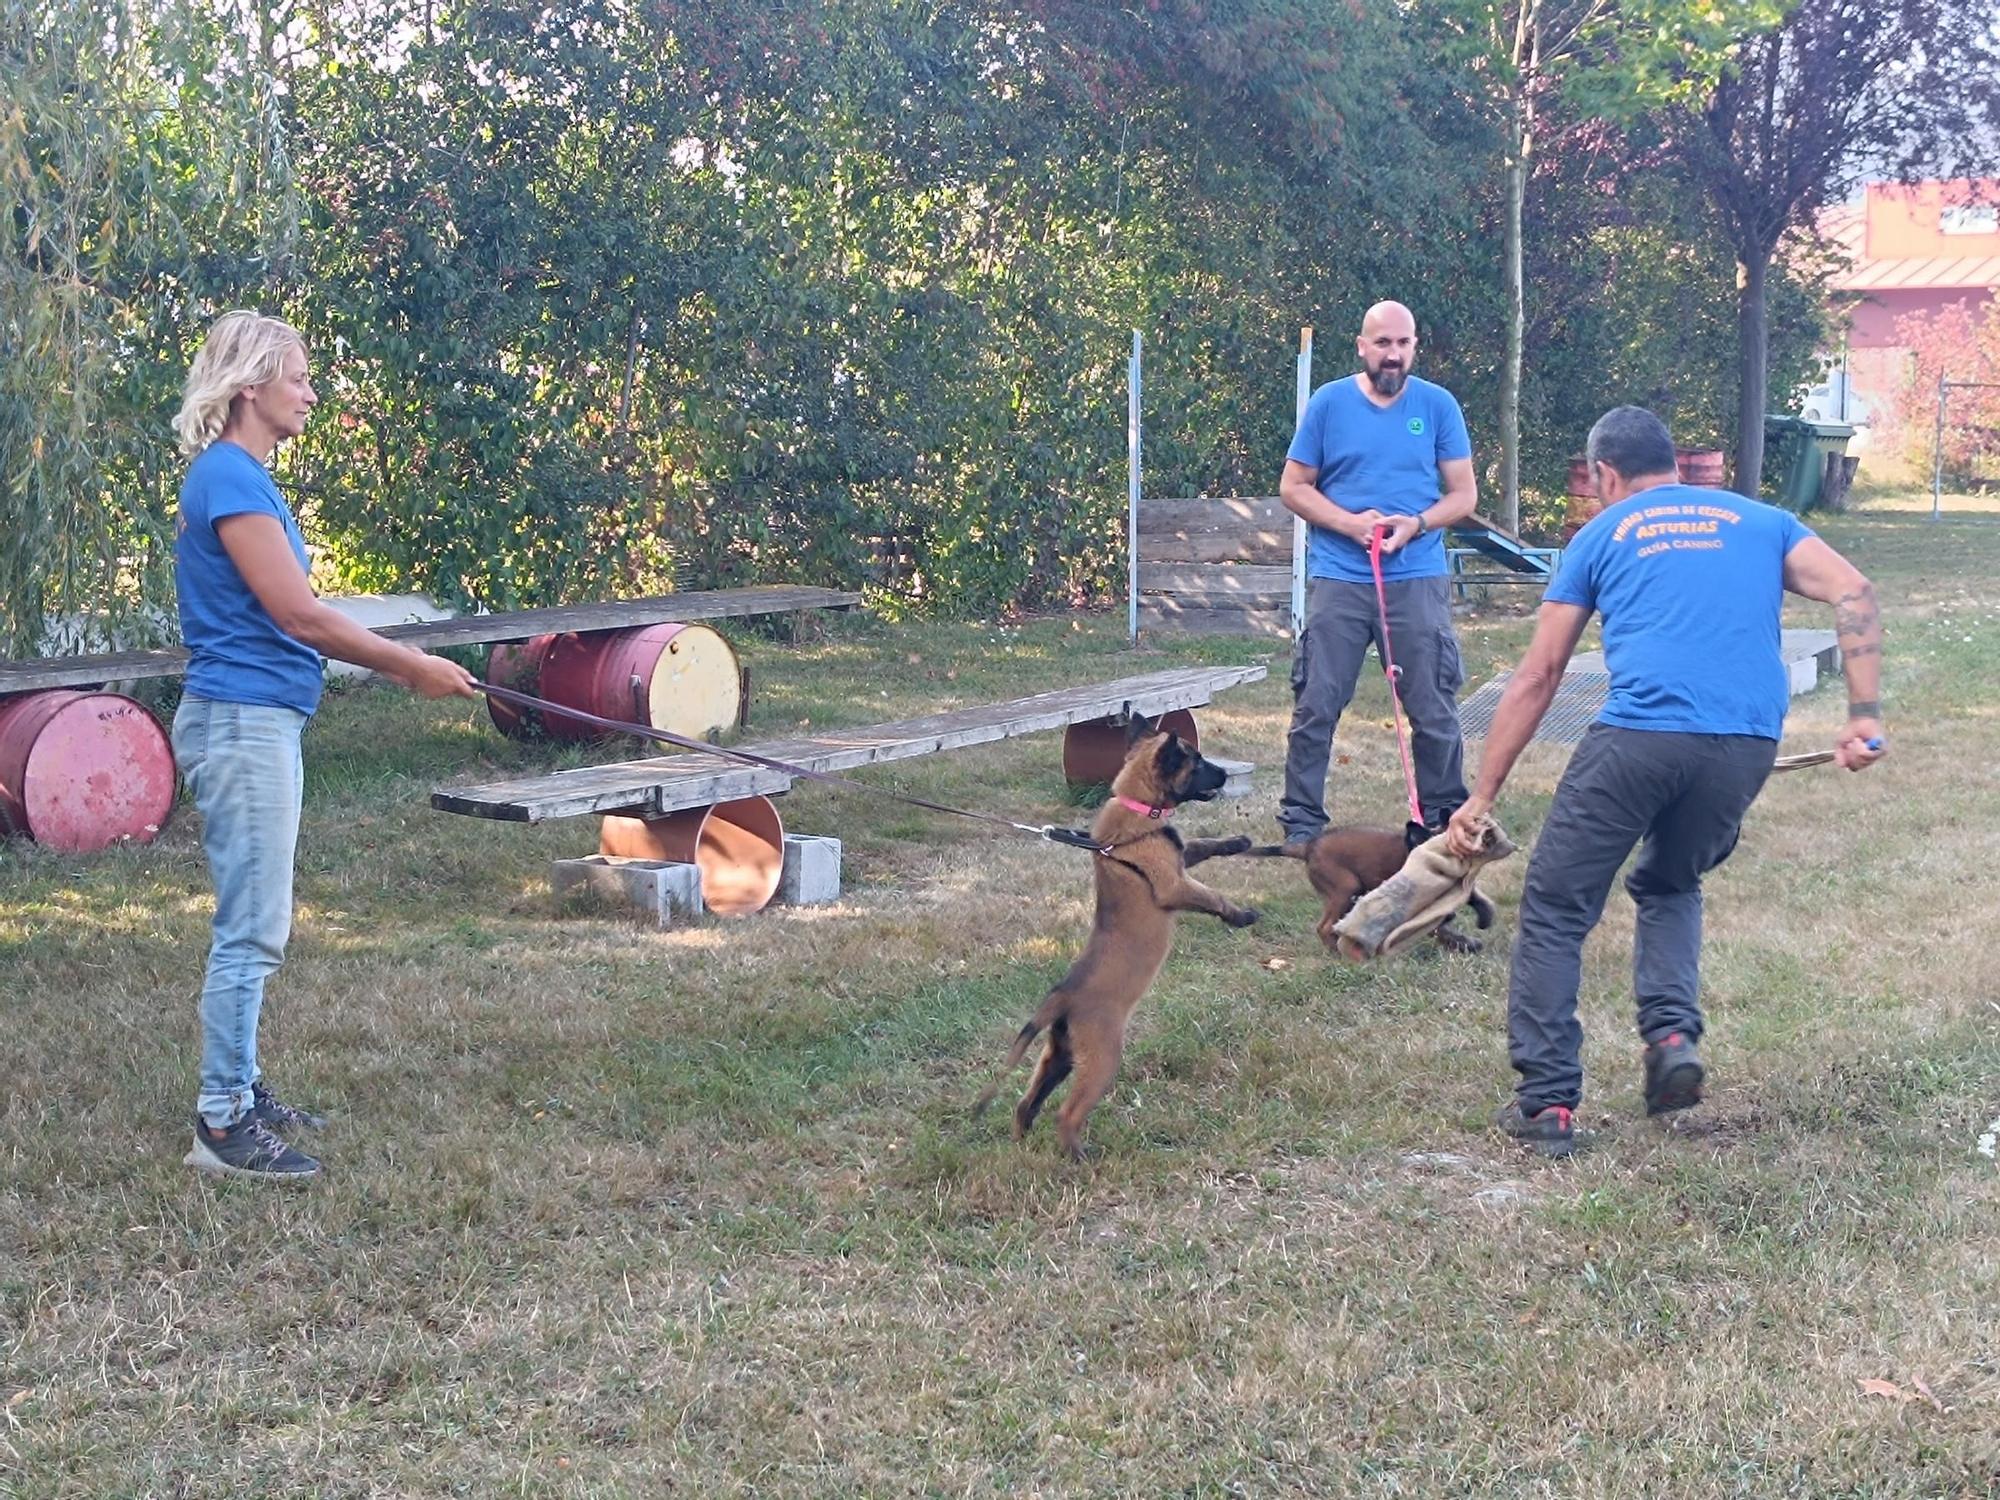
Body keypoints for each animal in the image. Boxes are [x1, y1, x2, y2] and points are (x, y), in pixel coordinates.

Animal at [976, 720, 1256, 1160]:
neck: (1139, 809)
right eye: (1196, 762)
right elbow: (1214, 898)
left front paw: (1238, 842)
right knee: (1066, 1114)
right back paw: (1080, 1159)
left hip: (1059, 1056)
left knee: (1026, 1102)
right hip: (1103, 1058)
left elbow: (1203, 844)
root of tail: (1062, 994)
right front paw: (1242, 916)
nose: (1225, 775)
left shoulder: (1180, 858)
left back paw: (1022, 1143)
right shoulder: (1173, 885)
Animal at [1240, 828, 1496, 956]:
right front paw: (1462, 943)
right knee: (1324, 927)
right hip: (1345, 888)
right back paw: (1338, 954)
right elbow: (1436, 927)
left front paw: (1481, 919)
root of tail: (1308, 847)